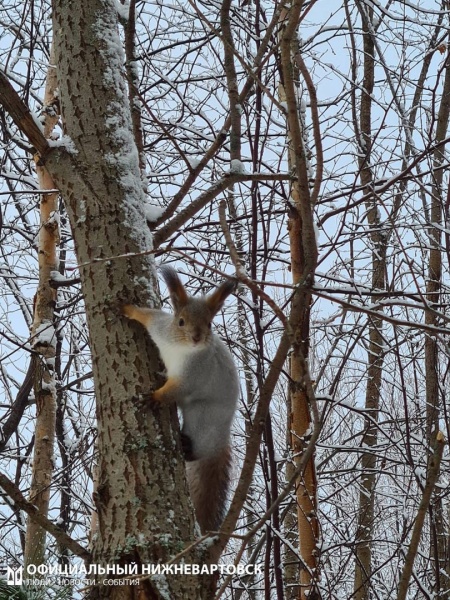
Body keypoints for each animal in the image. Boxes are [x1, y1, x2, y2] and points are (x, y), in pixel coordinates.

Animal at [119, 264, 239, 532]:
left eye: (210, 324)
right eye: (181, 321)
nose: (196, 337)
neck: (181, 349)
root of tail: (222, 437)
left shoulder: (192, 376)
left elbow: (174, 391)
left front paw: (154, 397)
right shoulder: (162, 329)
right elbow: (149, 317)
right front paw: (129, 309)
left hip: (202, 420)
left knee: (197, 451)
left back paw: (186, 446)